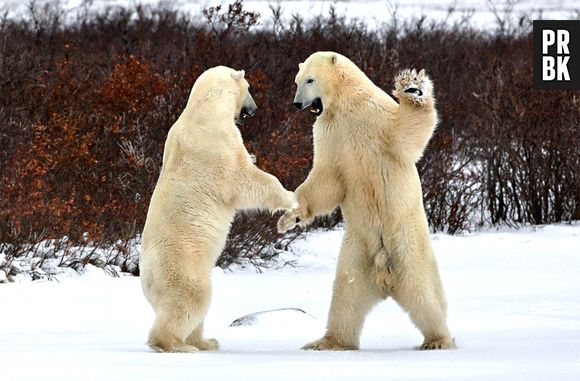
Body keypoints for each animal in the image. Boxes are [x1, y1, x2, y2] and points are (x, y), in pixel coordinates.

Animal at [139, 66, 294, 354]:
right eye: (250, 87)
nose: (254, 109)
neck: (205, 108)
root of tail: (147, 277)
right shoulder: (218, 142)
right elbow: (245, 180)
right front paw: (289, 197)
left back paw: (206, 341)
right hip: (183, 266)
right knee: (190, 300)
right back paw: (176, 345)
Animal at [278, 51, 456, 350]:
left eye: (310, 79)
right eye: (297, 81)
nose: (297, 103)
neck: (345, 105)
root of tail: (385, 278)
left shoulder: (376, 117)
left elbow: (406, 133)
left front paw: (413, 87)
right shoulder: (329, 134)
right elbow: (326, 179)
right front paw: (289, 217)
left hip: (408, 246)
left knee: (423, 293)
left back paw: (438, 340)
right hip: (357, 252)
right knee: (345, 296)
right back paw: (327, 342)